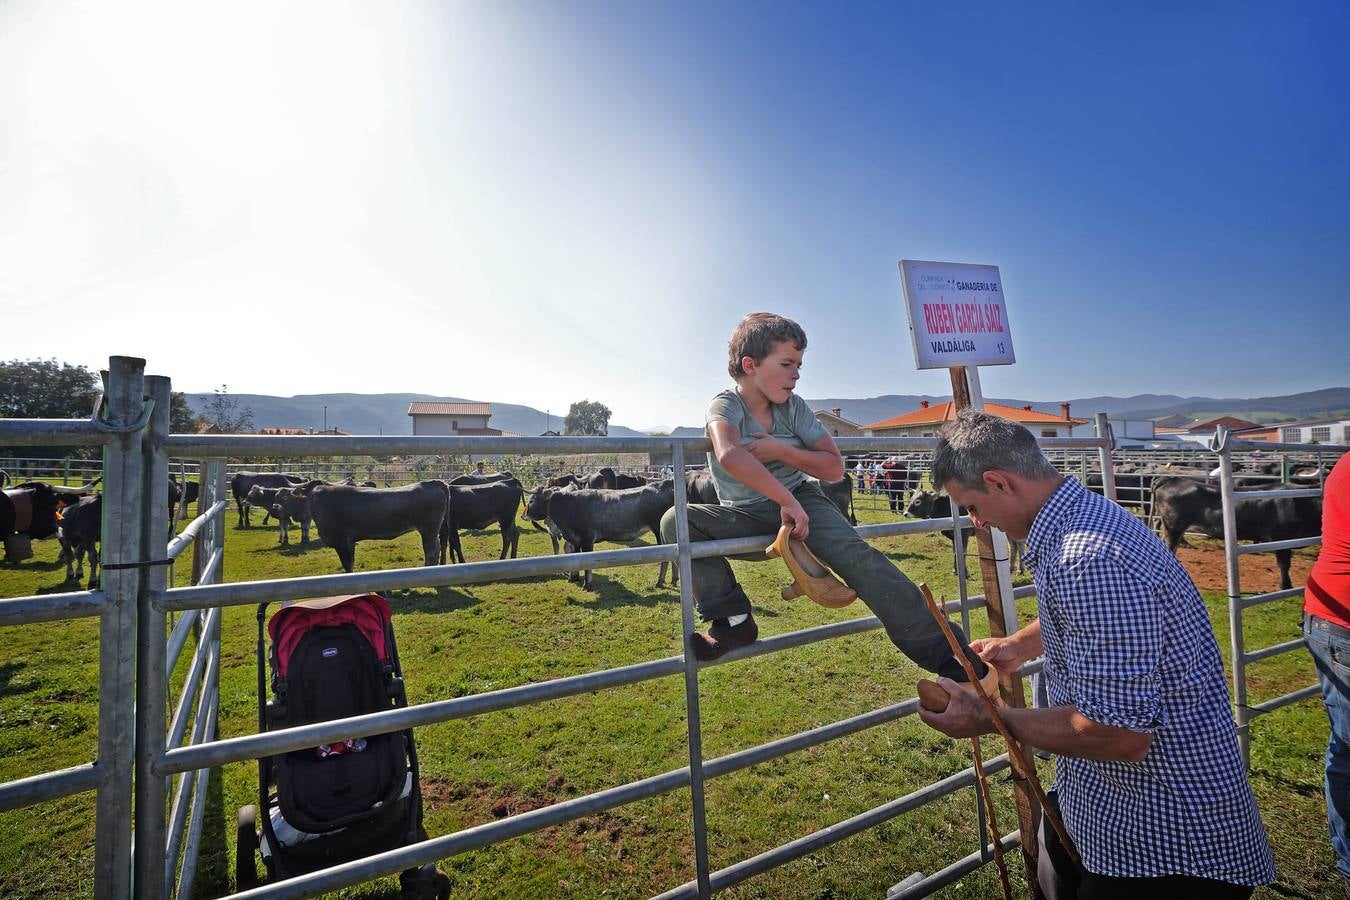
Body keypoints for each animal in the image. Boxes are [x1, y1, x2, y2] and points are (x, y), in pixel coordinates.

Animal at [303, 483, 450, 574]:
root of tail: (431, 482)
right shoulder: (349, 542)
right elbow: (350, 563)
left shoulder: (341, 542)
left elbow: (347, 565)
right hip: (432, 530)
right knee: (437, 547)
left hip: (428, 529)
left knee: (431, 551)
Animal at [523, 483, 675, 588]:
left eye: (531, 500)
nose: (523, 515)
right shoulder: (575, 540)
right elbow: (576, 558)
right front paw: (574, 578)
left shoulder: (587, 540)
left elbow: (587, 563)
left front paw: (587, 584)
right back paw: (673, 580)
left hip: (658, 530)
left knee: (666, 557)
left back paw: (660, 581)